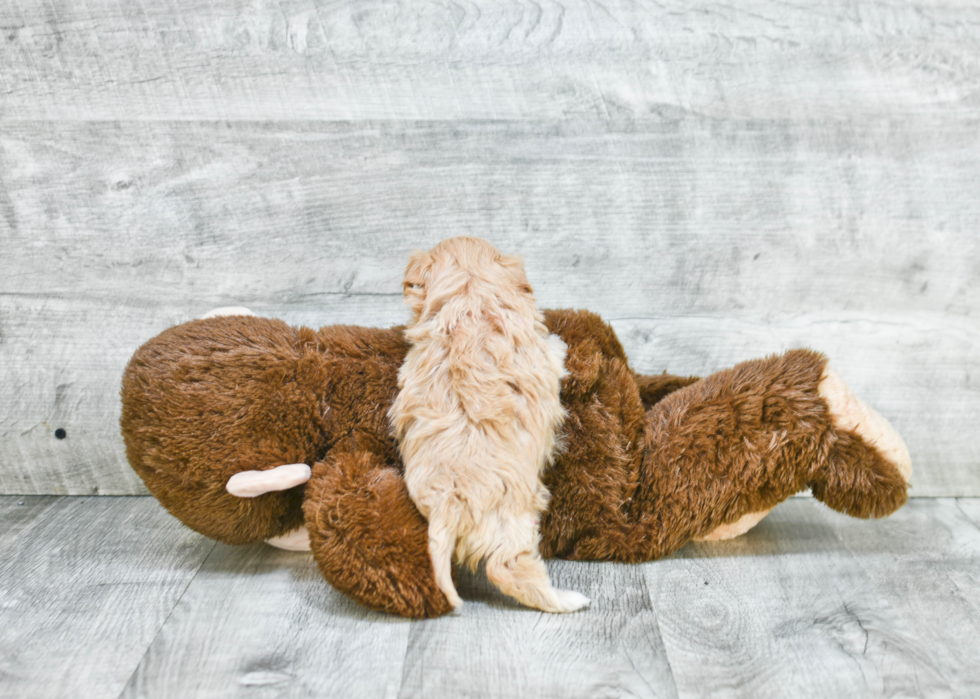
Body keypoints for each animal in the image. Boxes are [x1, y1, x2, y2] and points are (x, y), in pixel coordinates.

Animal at [388, 238, 588, 616]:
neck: (470, 294)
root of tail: (448, 502)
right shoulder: (537, 351)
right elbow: (553, 351)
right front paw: (560, 342)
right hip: (514, 524)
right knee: (507, 569)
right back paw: (569, 600)